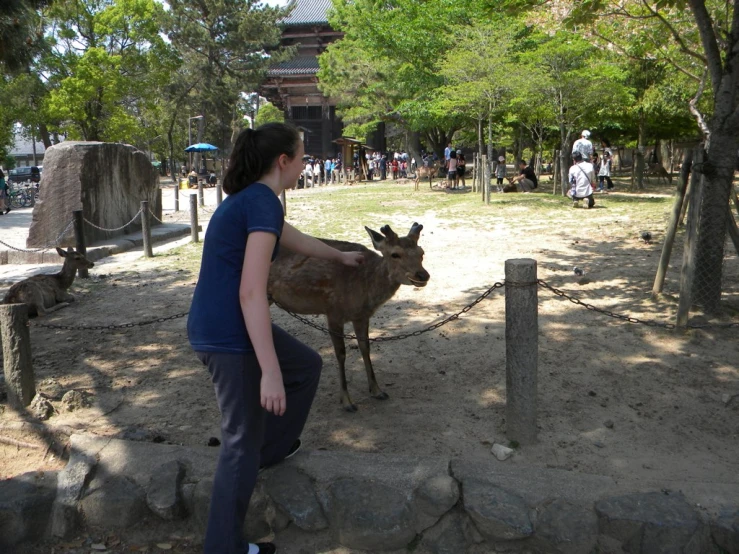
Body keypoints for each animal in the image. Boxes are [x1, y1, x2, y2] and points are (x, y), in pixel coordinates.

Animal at [270, 221, 434, 410]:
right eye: (395, 254)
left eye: (422, 252)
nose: (423, 275)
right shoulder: (333, 312)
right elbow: (341, 354)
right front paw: (347, 401)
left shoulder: (361, 316)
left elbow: (365, 347)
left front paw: (377, 391)